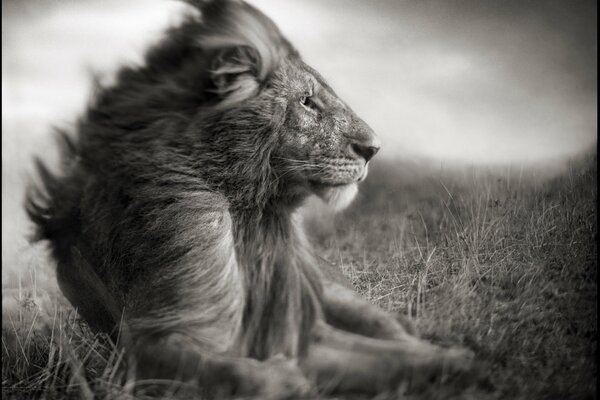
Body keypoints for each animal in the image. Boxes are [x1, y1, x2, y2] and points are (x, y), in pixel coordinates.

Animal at [27, 1, 478, 398]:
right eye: (307, 102)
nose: (374, 149)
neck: (252, 214)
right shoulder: (149, 343)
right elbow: (231, 372)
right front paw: (285, 380)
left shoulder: (299, 329)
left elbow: (395, 357)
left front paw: (461, 361)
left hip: (335, 293)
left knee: (391, 327)